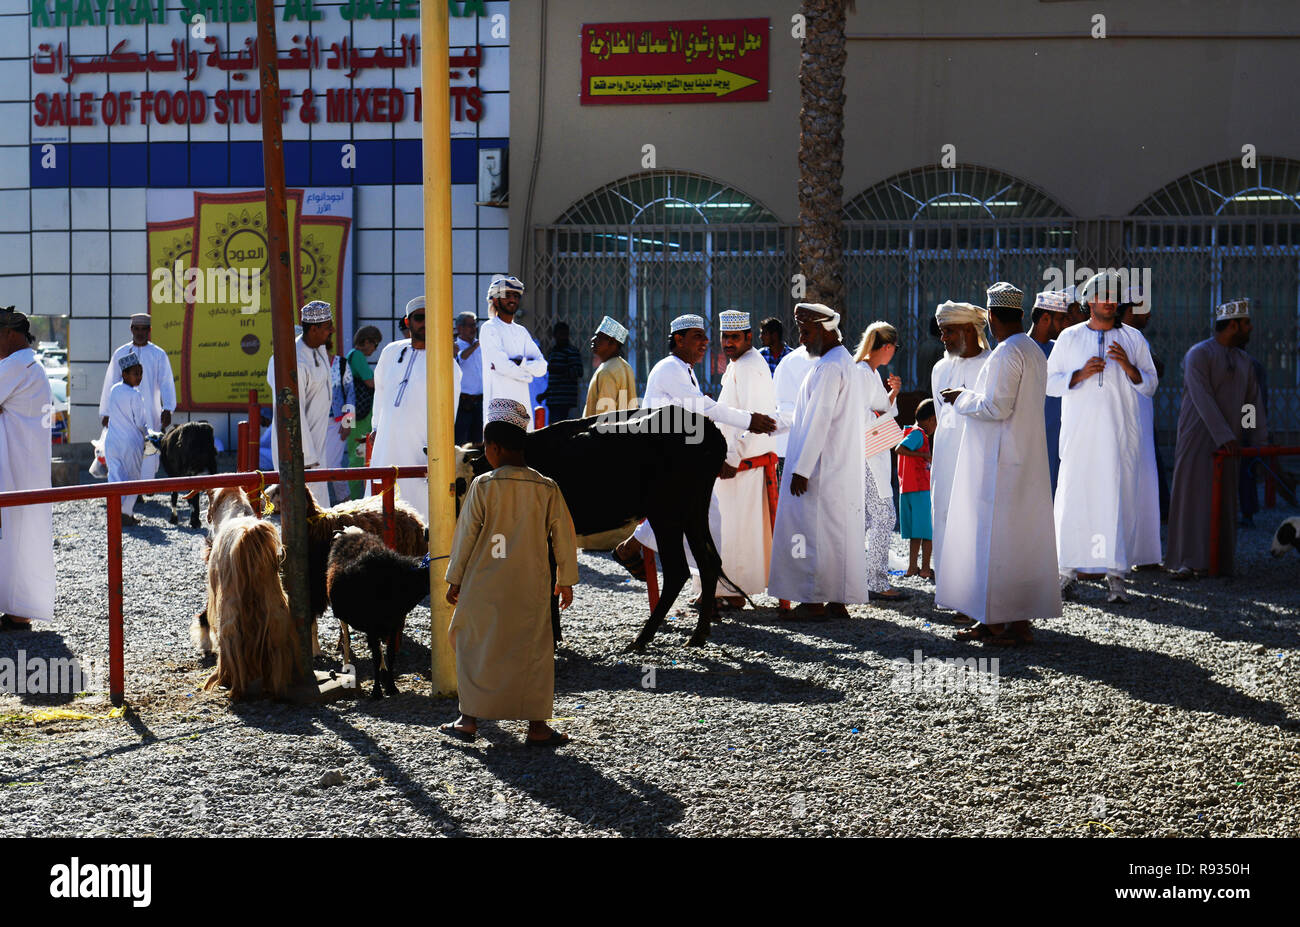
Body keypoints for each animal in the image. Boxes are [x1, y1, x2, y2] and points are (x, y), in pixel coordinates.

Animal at [325, 525, 431, 696]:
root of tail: (349, 532)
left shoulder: (395, 622)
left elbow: (390, 653)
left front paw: (391, 686)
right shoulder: (372, 625)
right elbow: (375, 656)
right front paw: (376, 692)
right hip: (342, 614)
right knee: (346, 636)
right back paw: (346, 667)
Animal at [467, 408, 733, 647]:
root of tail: (708, 427)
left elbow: (551, 582)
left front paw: (552, 639)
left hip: (665, 514)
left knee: (677, 570)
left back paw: (642, 638)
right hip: (694, 512)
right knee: (709, 562)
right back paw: (698, 635)